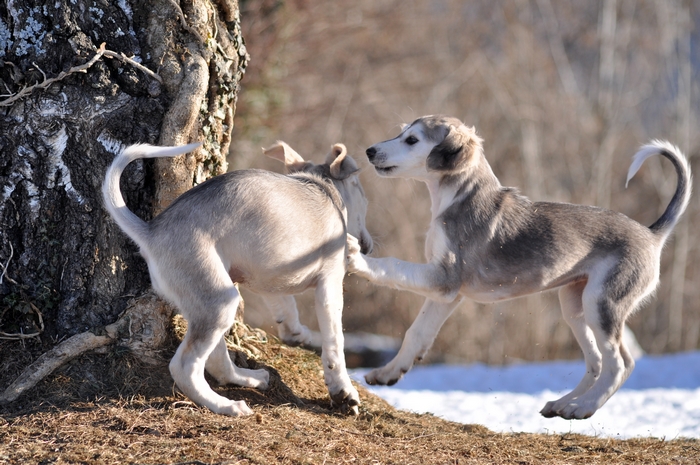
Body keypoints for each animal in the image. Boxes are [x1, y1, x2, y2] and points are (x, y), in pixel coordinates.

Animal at [103, 140, 372, 416]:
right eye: (361, 190)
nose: (365, 246)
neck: (323, 187)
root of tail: (151, 233)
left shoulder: (268, 275)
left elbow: (285, 304)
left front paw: (296, 332)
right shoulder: (330, 283)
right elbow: (335, 344)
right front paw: (343, 393)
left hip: (212, 300)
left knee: (217, 362)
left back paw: (249, 378)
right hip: (220, 301)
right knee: (185, 367)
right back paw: (227, 406)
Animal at [348, 114, 692, 418]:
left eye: (412, 140)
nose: (369, 151)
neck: (457, 198)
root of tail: (652, 234)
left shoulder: (444, 278)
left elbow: (392, 266)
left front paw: (357, 259)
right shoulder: (448, 295)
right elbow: (415, 333)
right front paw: (389, 372)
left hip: (602, 304)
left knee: (620, 364)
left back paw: (583, 408)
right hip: (575, 305)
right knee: (596, 363)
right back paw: (562, 404)